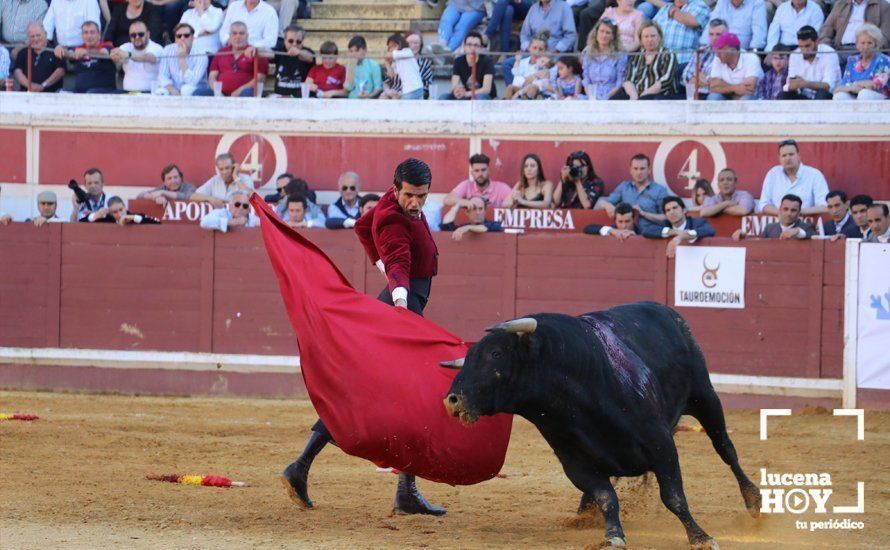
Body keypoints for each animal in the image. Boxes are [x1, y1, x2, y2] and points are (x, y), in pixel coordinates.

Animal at [440, 304, 760, 548]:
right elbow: (607, 497)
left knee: (726, 449)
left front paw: (701, 537)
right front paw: (613, 535)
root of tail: (667, 312)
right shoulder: (575, 462)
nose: (452, 400)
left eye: (495, 354)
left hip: (704, 396)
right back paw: (584, 513)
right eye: (467, 359)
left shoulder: (661, 444)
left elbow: (673, 496)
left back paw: (753, 500)